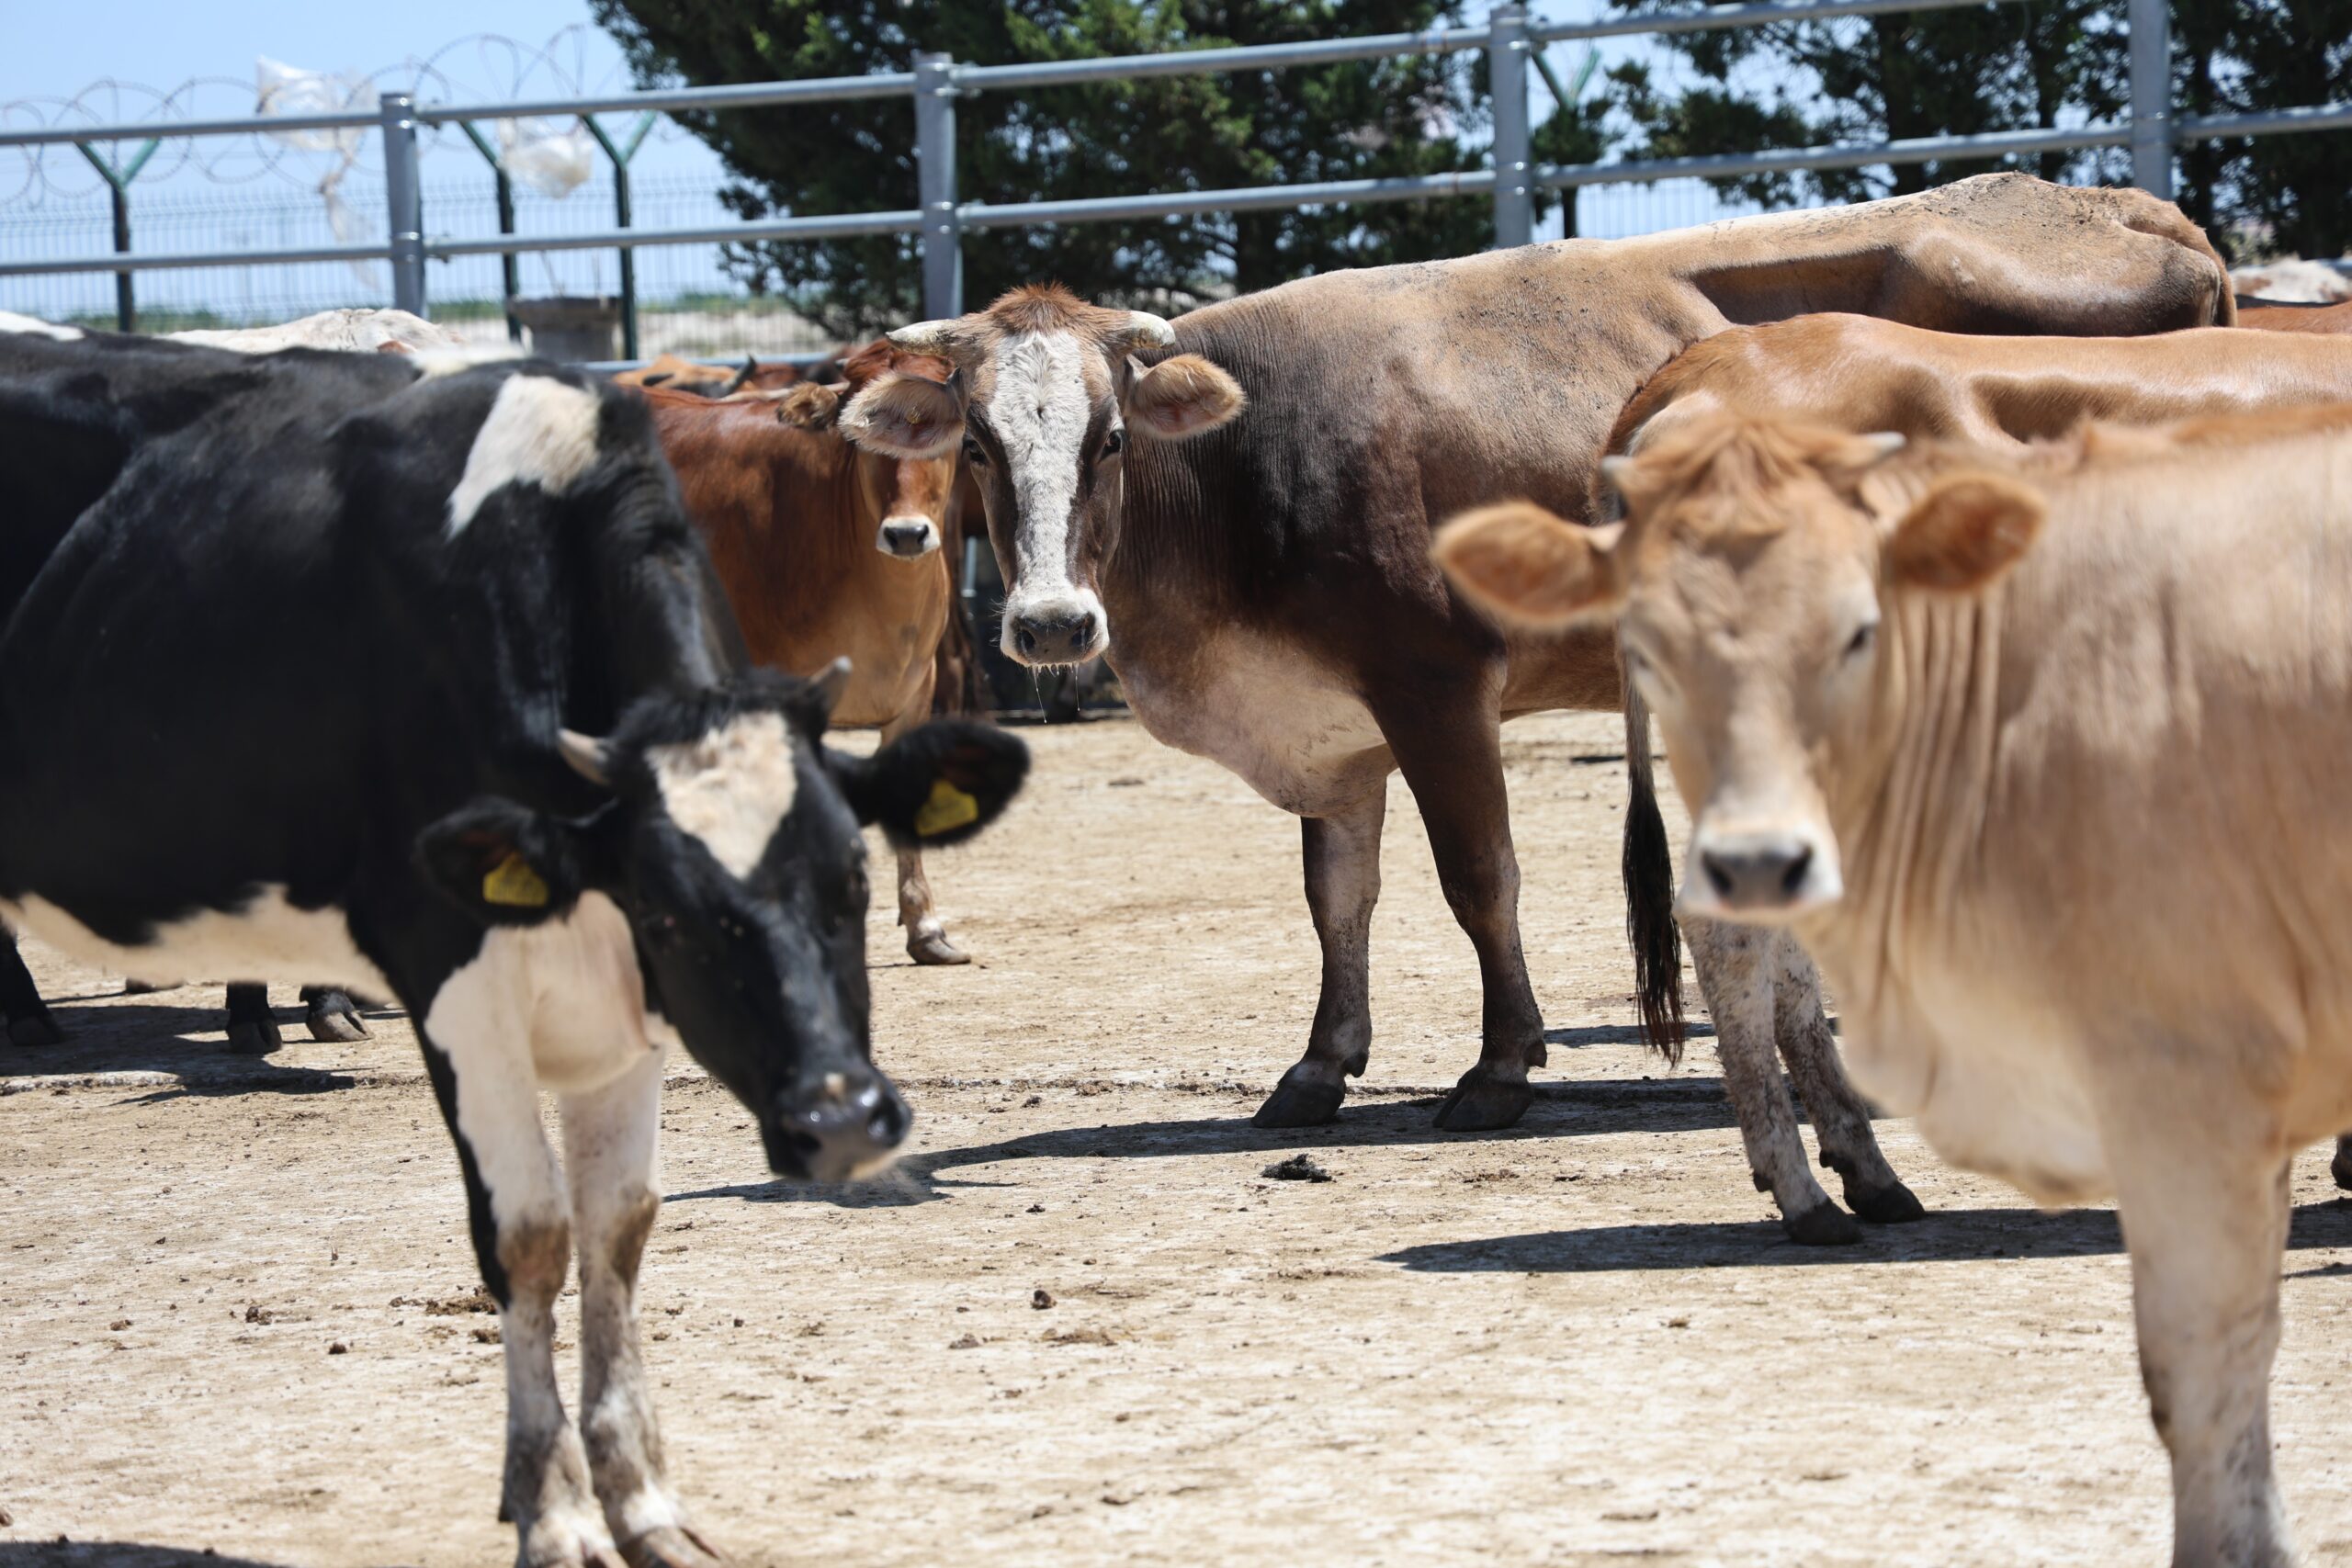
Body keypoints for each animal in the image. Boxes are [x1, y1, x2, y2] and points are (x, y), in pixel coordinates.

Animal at [855, 171, 2229, 1241]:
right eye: (975, 442)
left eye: (1110, 441)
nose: (1049, 624)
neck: (1242, 469)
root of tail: (2125, 205)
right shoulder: (1331, 730)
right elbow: (1336, 896)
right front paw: (1320, 1063)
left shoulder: (1436, 683)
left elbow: (1479, 879)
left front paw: (1500, 1065)